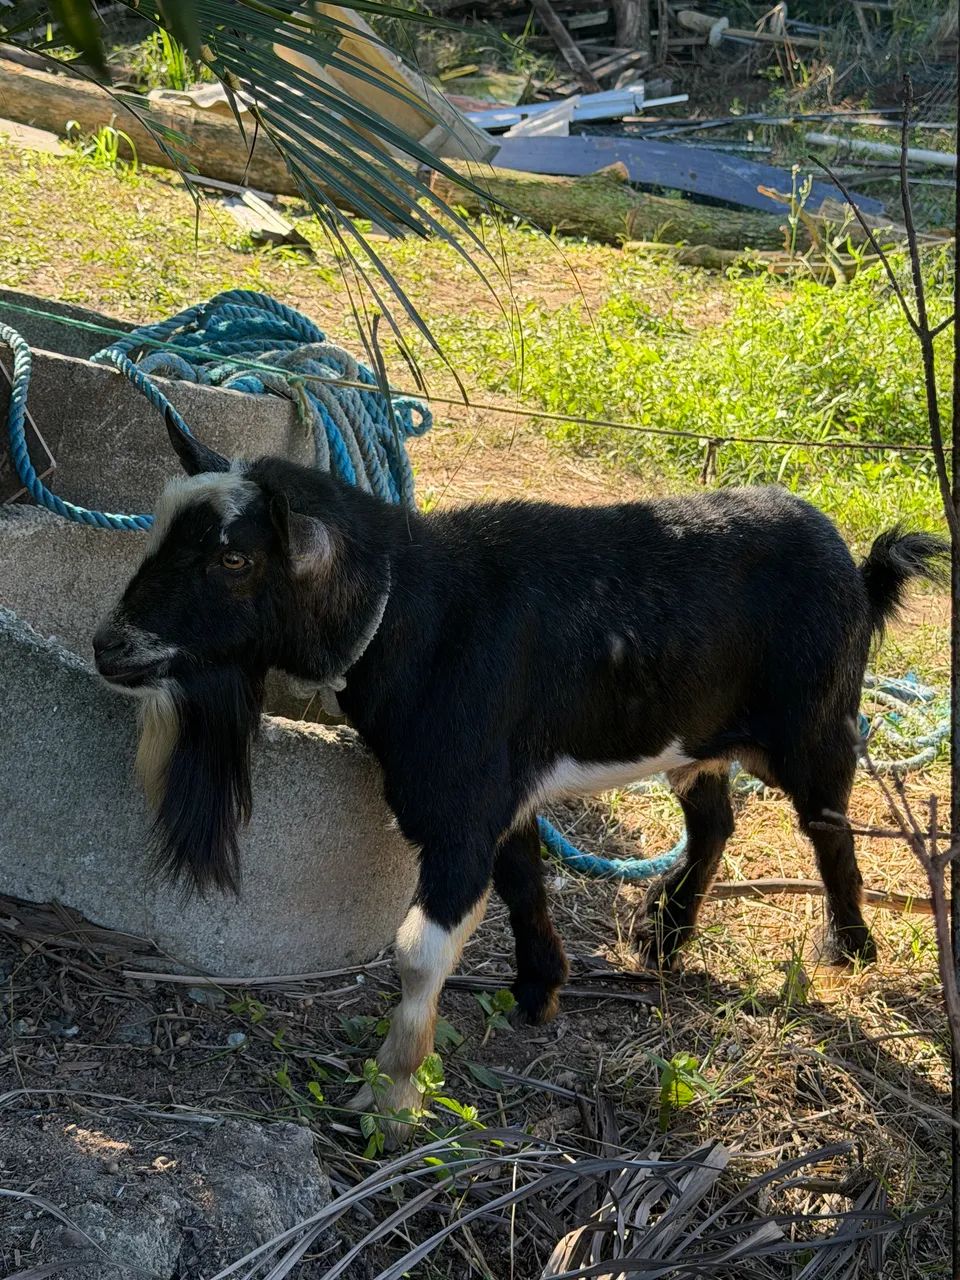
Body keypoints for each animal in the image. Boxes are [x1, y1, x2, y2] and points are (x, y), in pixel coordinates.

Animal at [94, 421, 946, 1128]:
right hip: (696, 735)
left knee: (829, 828)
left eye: (233, 559)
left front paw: (393, 1095)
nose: (110, 646)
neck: (414, 611)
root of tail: (854, 564)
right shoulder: (501, 792)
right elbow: (523, 883)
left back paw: (849, 950)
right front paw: (539, 991)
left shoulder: (462, 806)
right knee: (714, 821)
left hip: (817, 723)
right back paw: (665, 938)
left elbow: (420, 951)